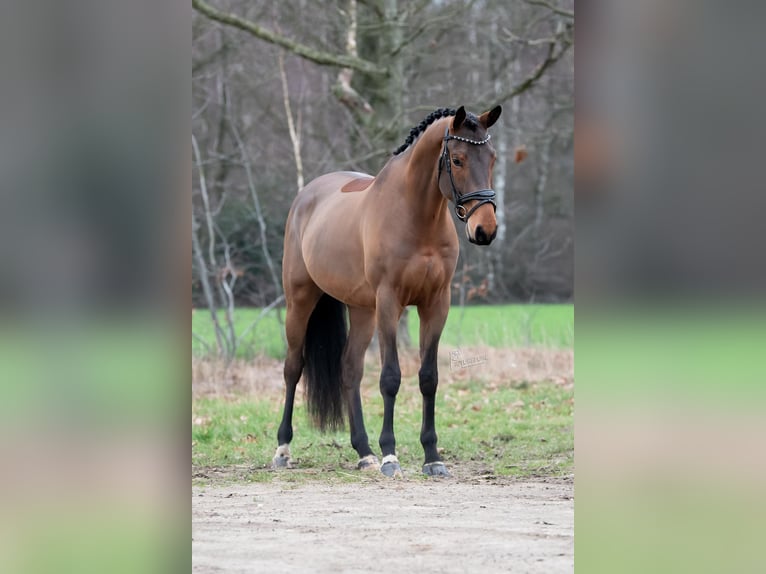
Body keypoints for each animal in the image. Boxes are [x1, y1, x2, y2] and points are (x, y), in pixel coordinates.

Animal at [272, 105, 502, 477]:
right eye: (457, 160)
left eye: (492, 157)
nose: (485, 230)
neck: (416, 217)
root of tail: (306, 196)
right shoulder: (390, 302)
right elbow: (390, 377)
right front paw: (391, 455)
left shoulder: (436, 304)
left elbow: (428, 377)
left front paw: (432, 457)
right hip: (301, 300)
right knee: (293, 367)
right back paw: (282, 449)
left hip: (363, 310)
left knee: (349, 369)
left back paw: (364, 451)